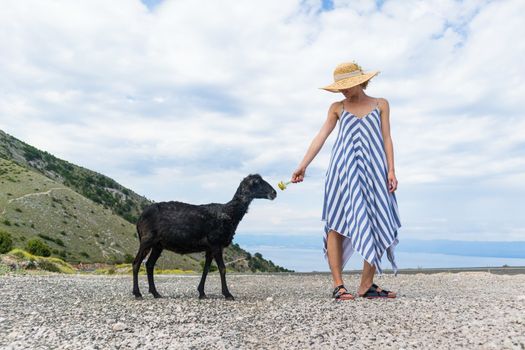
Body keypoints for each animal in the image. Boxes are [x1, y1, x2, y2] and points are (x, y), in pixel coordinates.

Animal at [131, 174, 276, 300]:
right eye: (257, 182)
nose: (274, 193)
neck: (229, 214)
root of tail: (140, 218)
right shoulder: (216, 243)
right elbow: (222, 269)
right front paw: (228, 294)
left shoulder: (209, 248)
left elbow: (206, 270)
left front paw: (202, 293)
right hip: (146, 239)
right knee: (136, 263)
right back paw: (138, 294)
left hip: (158, 245)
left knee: (149, 265)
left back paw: (155, 293)